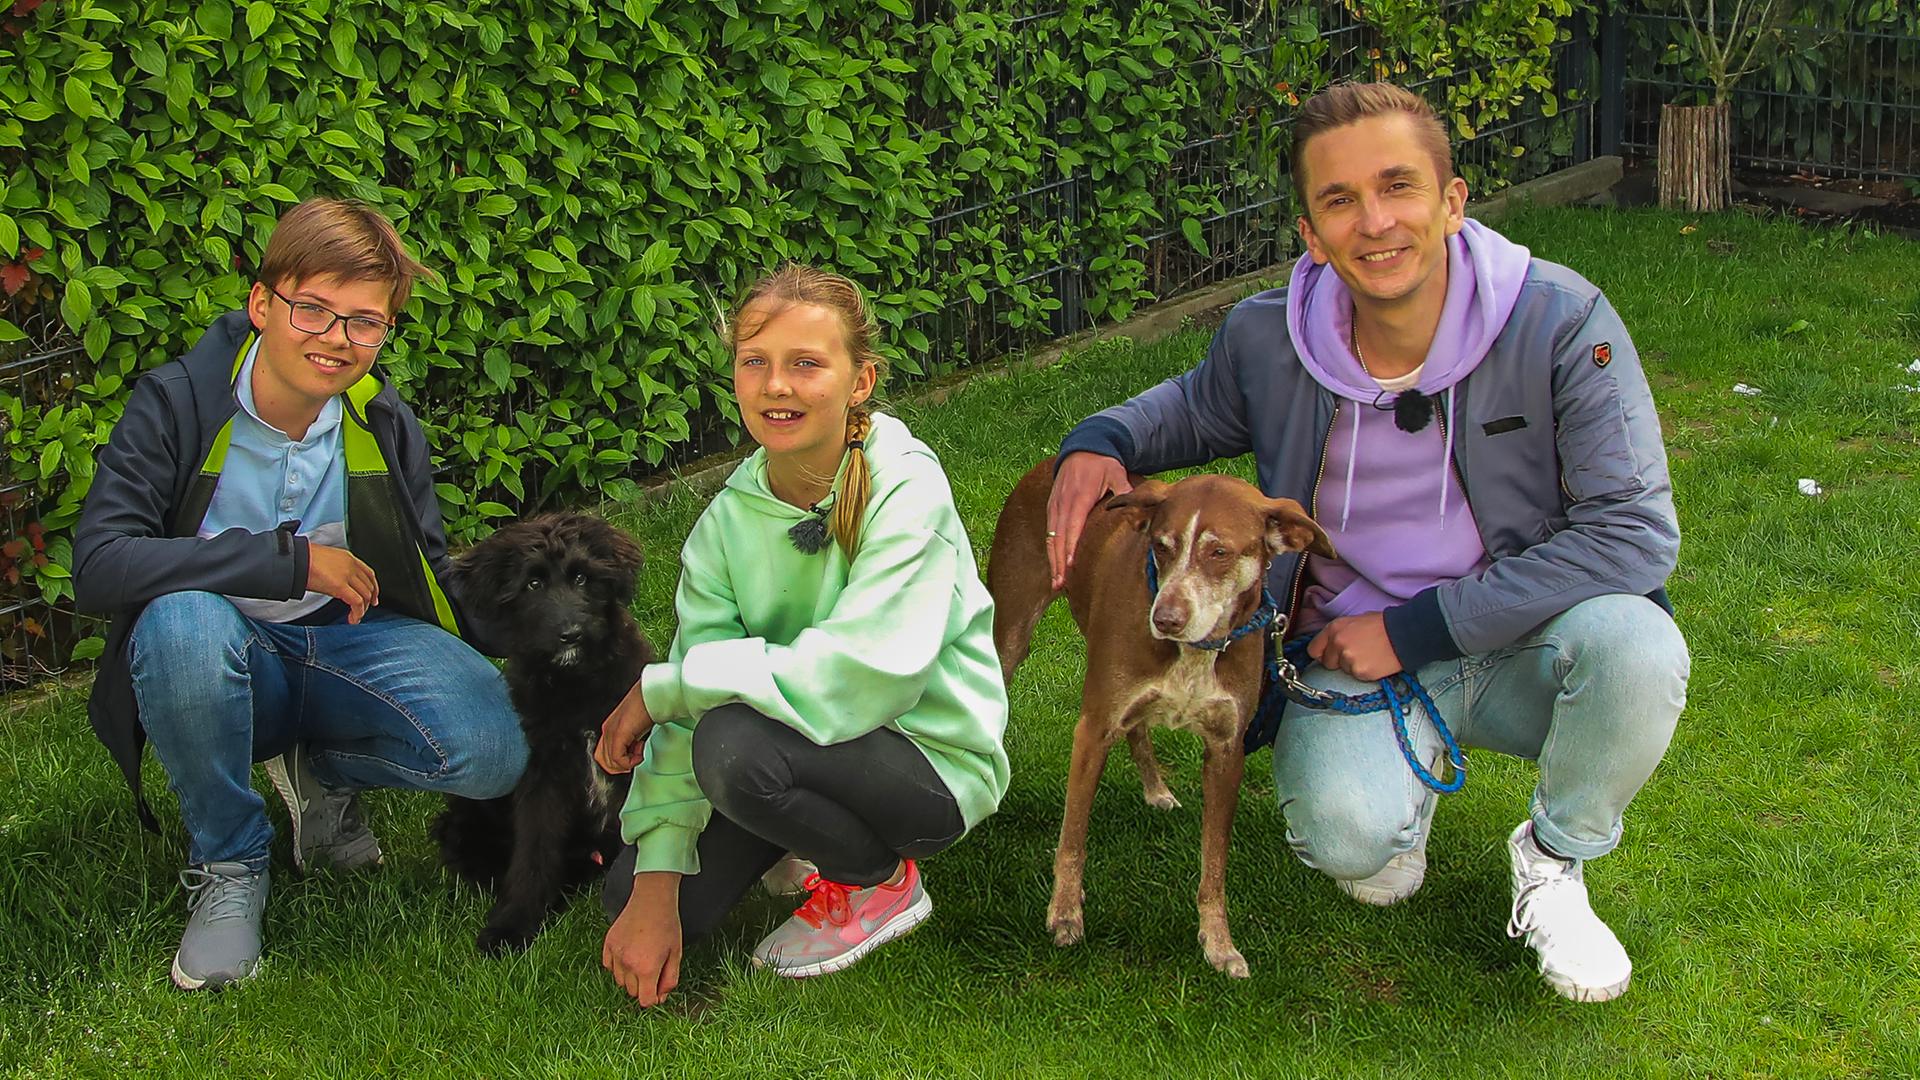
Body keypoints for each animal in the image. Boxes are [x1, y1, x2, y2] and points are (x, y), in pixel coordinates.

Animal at [431, 513, 655, 954]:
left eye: (582, 578)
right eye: (532, 585)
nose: (571, 633)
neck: (575, 685)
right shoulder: (542, 773)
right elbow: (534, 850)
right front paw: (514, 923)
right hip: (466, 815)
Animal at [987, 459, 1332, 977]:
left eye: (1219, 552)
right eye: (1162, 546)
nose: (1164, 618)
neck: (1194, 650)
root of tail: (1051, 463)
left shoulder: (1226, 750)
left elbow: (1214, 864)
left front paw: (1219, 942)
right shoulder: (1093, 727)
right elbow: (1073, 839)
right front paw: (1065, 913)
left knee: (1140, 729)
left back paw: (1155, 788)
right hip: (1011, 634)